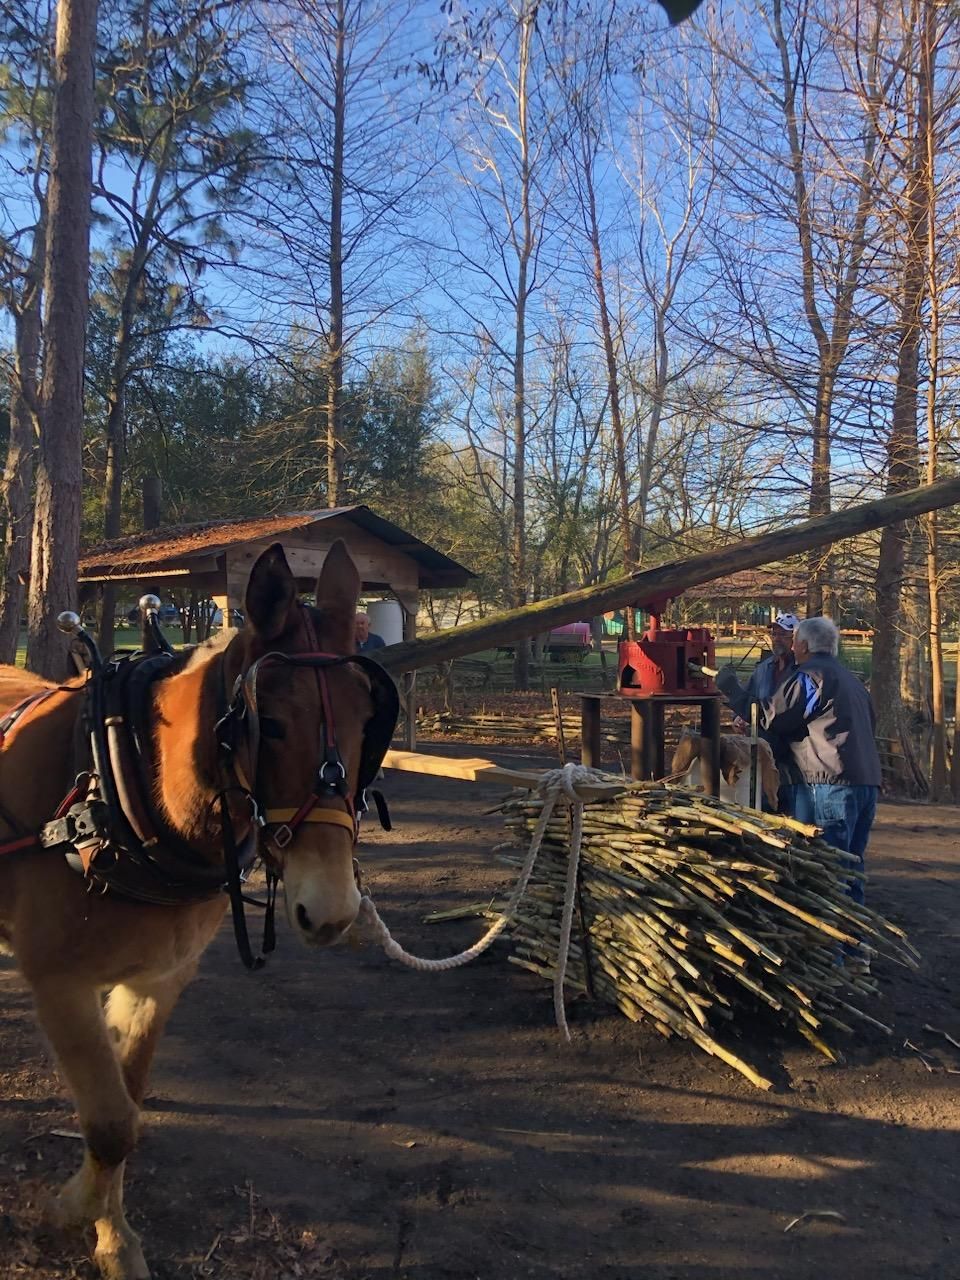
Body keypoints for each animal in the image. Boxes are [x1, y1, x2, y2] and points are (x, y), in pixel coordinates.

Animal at [0, 540, 394, 1280]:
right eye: (271, 725)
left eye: (368, 720)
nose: (333, 909)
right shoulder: (59, 984)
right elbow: (111, 1123)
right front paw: (73, 1212)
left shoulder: (157, 980)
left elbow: (127, 1110)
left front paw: (111, 1235)